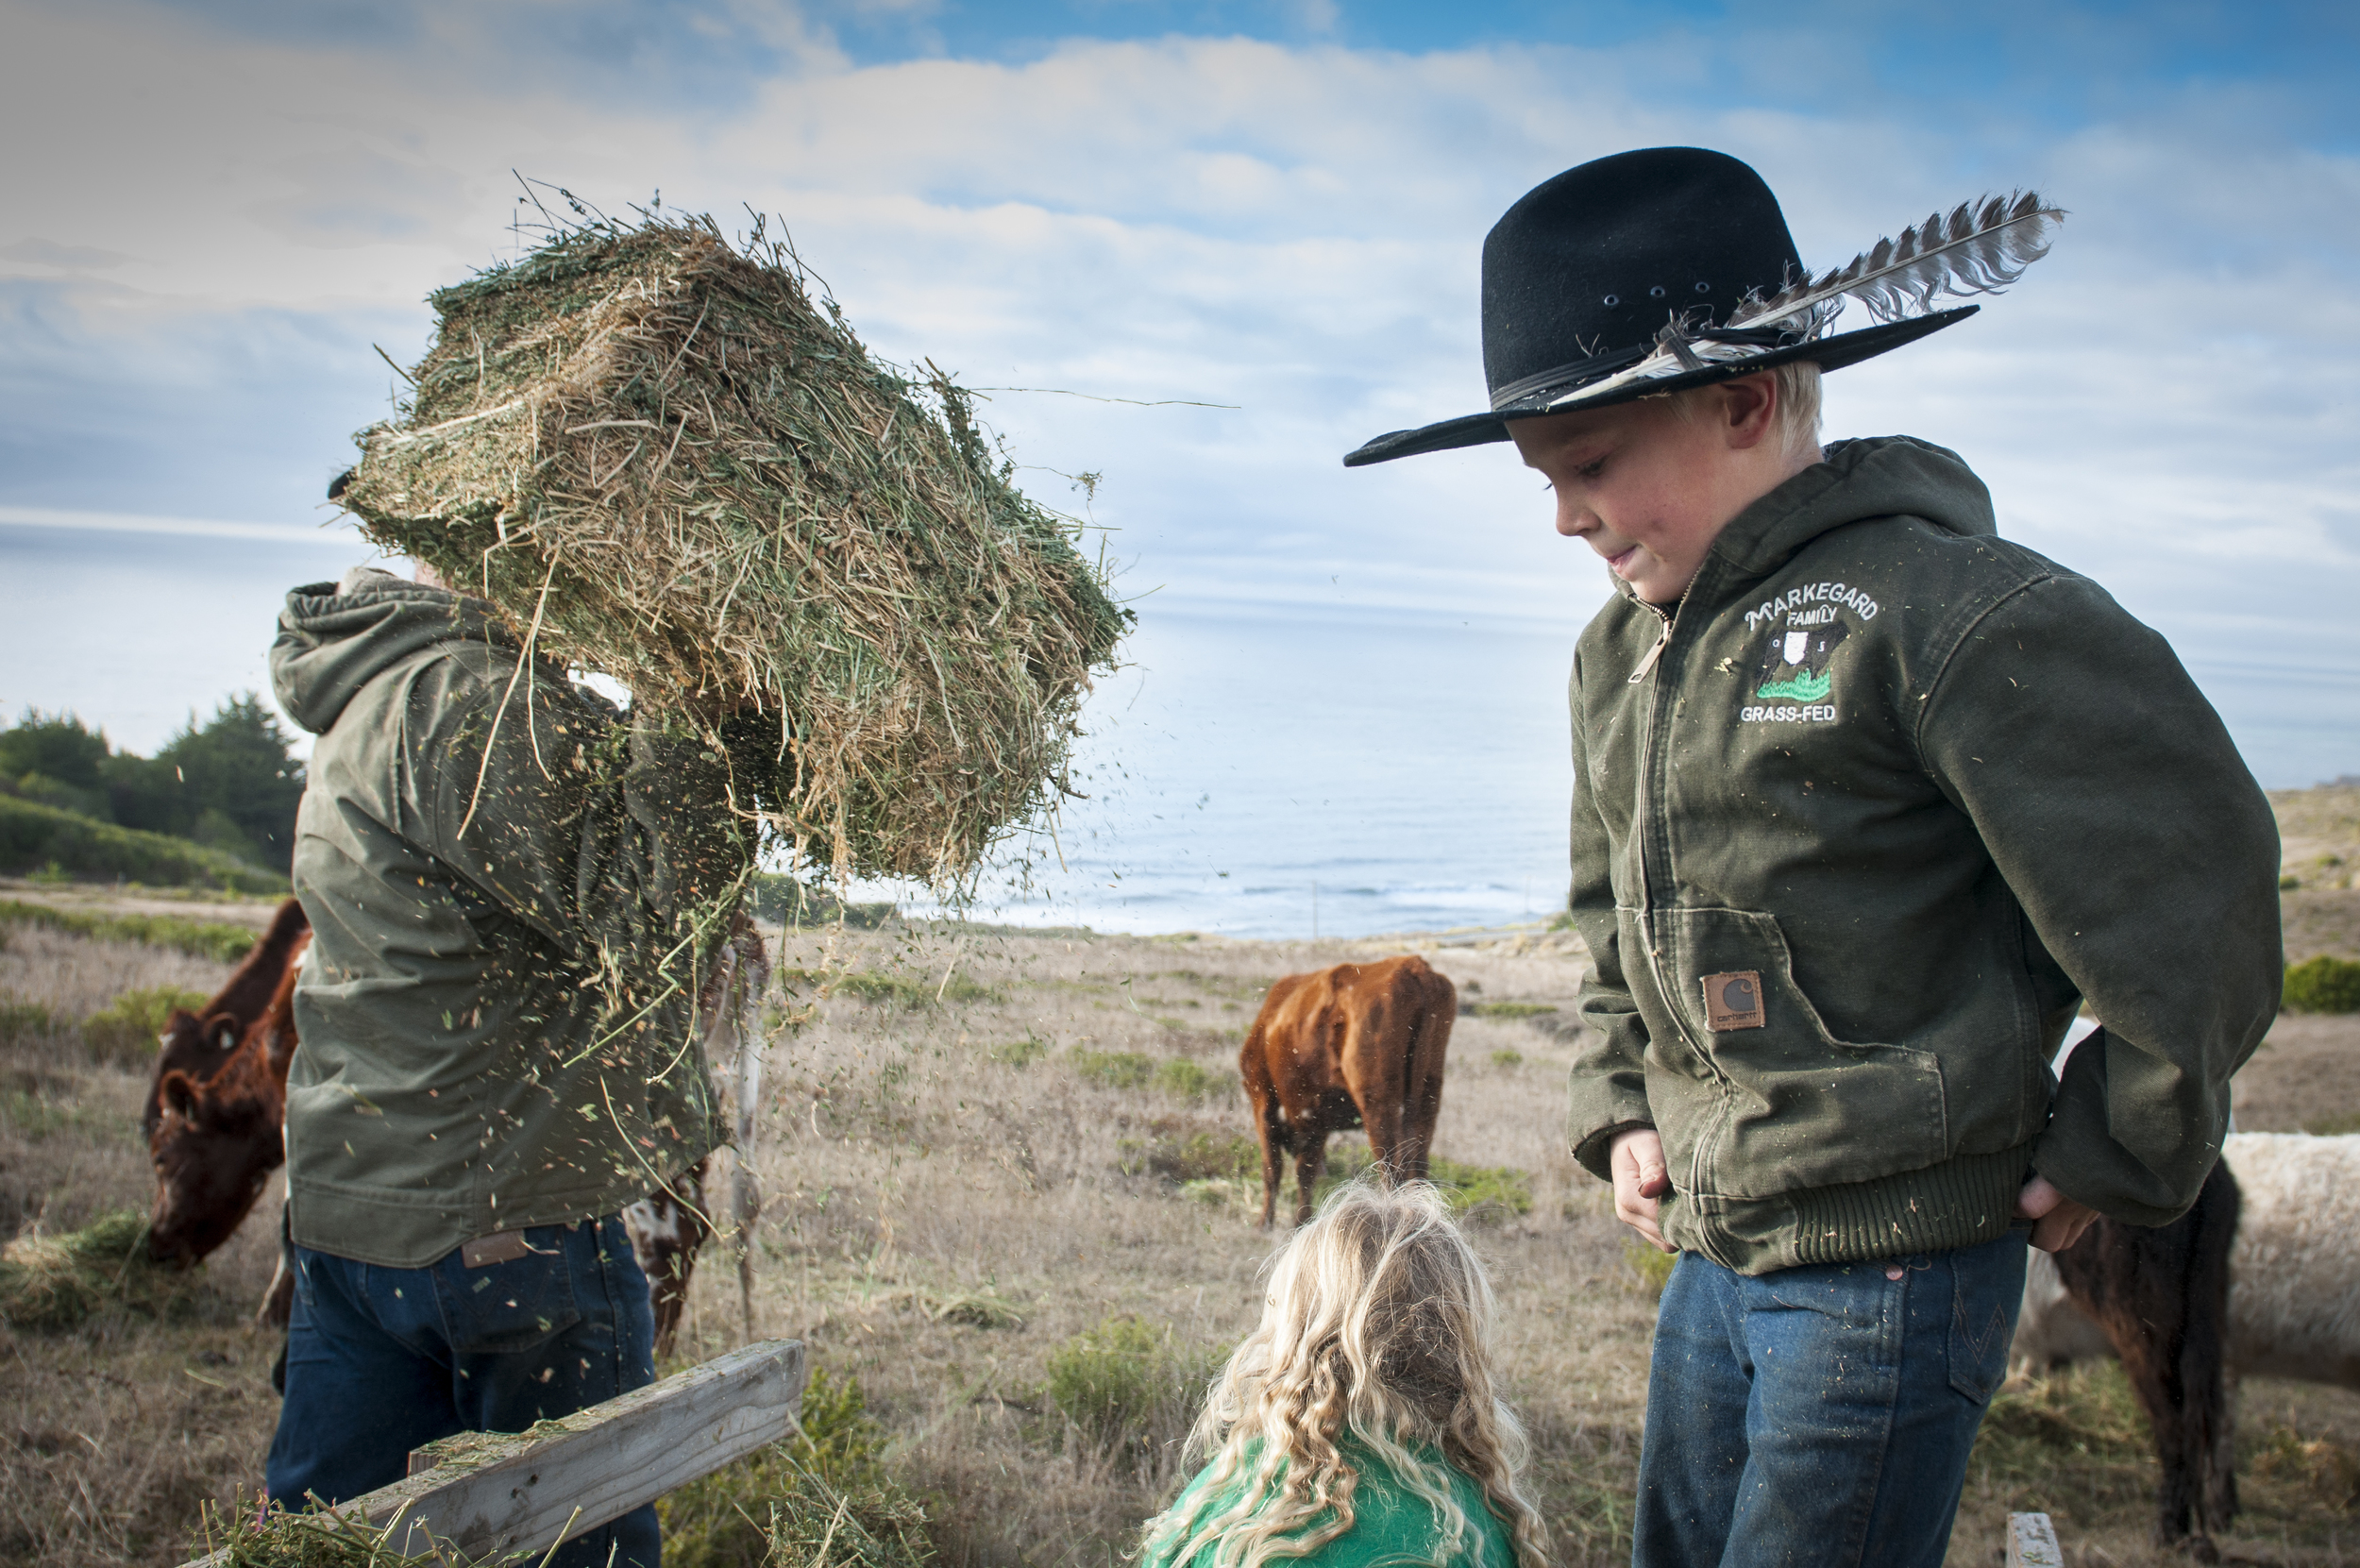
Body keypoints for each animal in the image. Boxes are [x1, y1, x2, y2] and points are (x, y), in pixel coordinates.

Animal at [1246, 949, 1444, 1227]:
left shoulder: (1265, 1099)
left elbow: (1278, 1167)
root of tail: (1412, 966)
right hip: (1428, 1097)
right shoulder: (1316, 1117)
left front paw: (1273, 1224)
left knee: (1390, 1168)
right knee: (1419, 1165)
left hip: (1378, 1107)